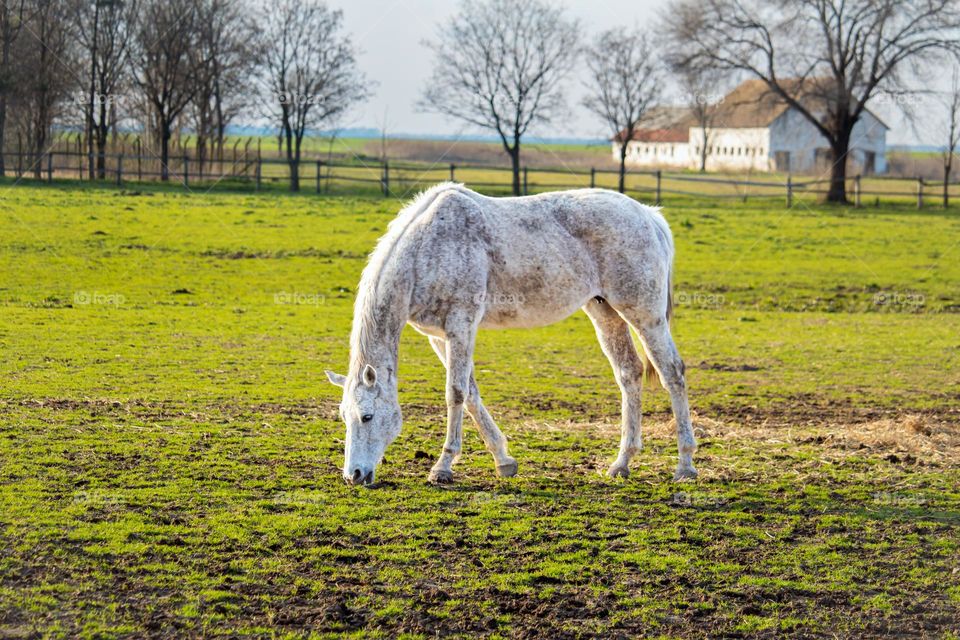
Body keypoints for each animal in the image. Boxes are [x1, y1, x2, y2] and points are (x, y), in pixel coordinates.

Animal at [325, 183, 697, 486]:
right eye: (344, 416)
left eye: (367, 416)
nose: (354, 475)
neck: (427, 248)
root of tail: (648, 216)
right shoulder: (438, 337)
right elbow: (472, 395)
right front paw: (503, 460)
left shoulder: (461, 325)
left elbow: (455, 393)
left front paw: (442, 467)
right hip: (604, 312)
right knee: (629, 374)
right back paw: (622, 462)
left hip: (645, 316)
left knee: (672, 373)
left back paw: (685, 465)